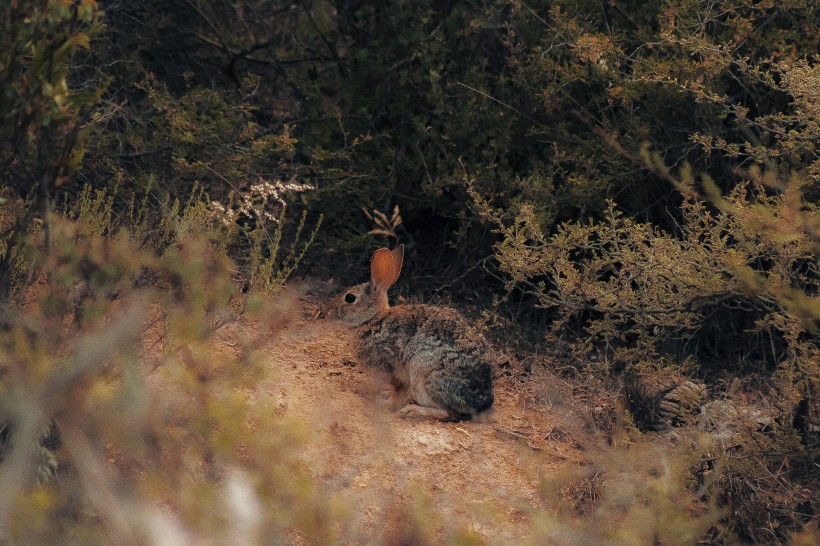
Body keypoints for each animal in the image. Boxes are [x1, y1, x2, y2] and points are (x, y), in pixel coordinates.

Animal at [324, 244, 494, 418]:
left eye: (350, 298)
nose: (328, 311)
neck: (373, 319)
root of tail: (481, 402)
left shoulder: (393, 368)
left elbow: (397, 390)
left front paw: (386, 403)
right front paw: (384, 396)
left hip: (423, 373)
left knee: (448, 413)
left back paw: (413, 410)